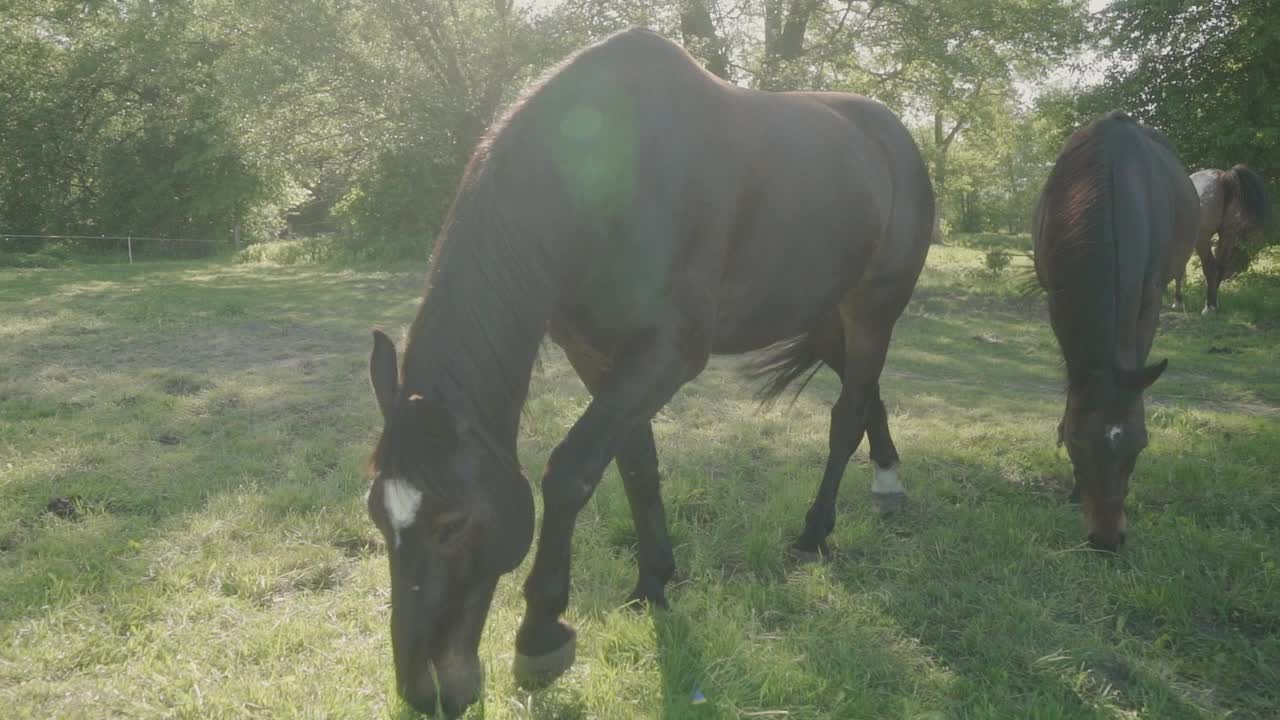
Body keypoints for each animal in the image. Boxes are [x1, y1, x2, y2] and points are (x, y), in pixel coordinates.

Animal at [358, 26, 931, 712]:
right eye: (378, 516)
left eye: (451, 524)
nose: (425, 692)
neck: (606, 183)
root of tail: (894, 136)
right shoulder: (597, 352)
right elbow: (636, 465)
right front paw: (653, 582)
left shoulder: (669, 353)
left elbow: (572, 469)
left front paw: (541, 635)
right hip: (828, 313)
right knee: (866, 393)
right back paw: (888, 482)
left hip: (874, 305)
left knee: (846, 416)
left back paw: (815, 535)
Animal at [1172, 165, 1274, 311]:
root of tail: (1223, 178)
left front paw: (1178, 301)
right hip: (1228, 233)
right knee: (1221, 265)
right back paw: (1213, 303)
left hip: (1203, 237)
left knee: (1210, 266)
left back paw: (1209, 306)